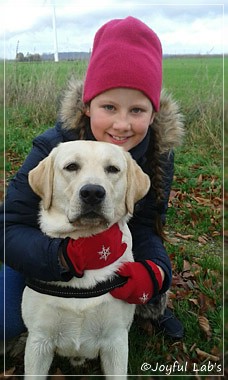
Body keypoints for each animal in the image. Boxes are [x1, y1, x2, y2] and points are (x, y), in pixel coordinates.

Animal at [21, 141, 150, 378]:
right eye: (71, 166)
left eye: (113, 169)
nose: (92, 192)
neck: (87, 240)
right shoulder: (39, 341)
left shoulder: (116, 341)